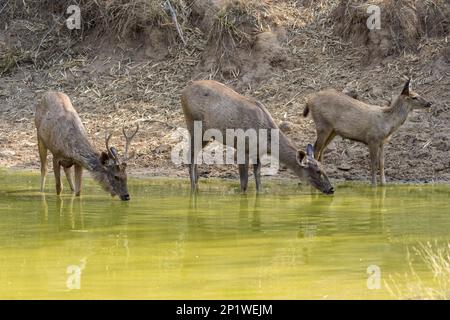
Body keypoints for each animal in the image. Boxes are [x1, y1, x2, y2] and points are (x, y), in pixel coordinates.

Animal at [180, 80, 334, 195]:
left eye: (324, 168)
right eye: (317, 171)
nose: (331, 188)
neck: (266, 141)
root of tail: (183, 91)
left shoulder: (257, 153)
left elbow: (258, 180)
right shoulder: (242, 148)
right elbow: (244, 184)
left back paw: (197, 182)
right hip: (195, 125)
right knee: (190, 154)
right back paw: (193, 188)